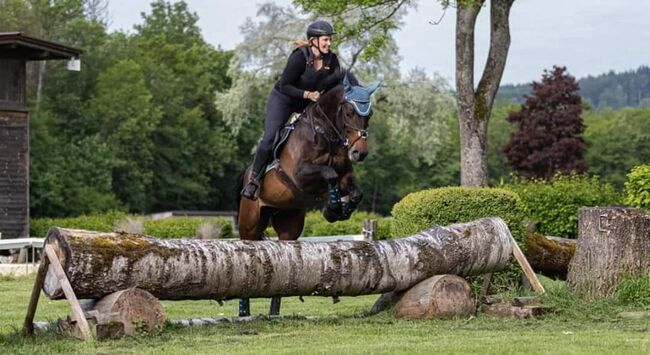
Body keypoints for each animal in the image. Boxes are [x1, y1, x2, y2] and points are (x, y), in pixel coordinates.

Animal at [234, 73, 380, 318]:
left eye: (368, 115)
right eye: (349, 112)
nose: (360, 152)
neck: (326, 134)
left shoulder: (346, 174)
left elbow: (355, 191)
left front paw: (339, 210)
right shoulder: (300, 175)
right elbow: (329, 174)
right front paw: (332, 208)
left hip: (289, 224)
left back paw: (274, 314)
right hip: (250, 222)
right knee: (247, 255)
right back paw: (244, 313)